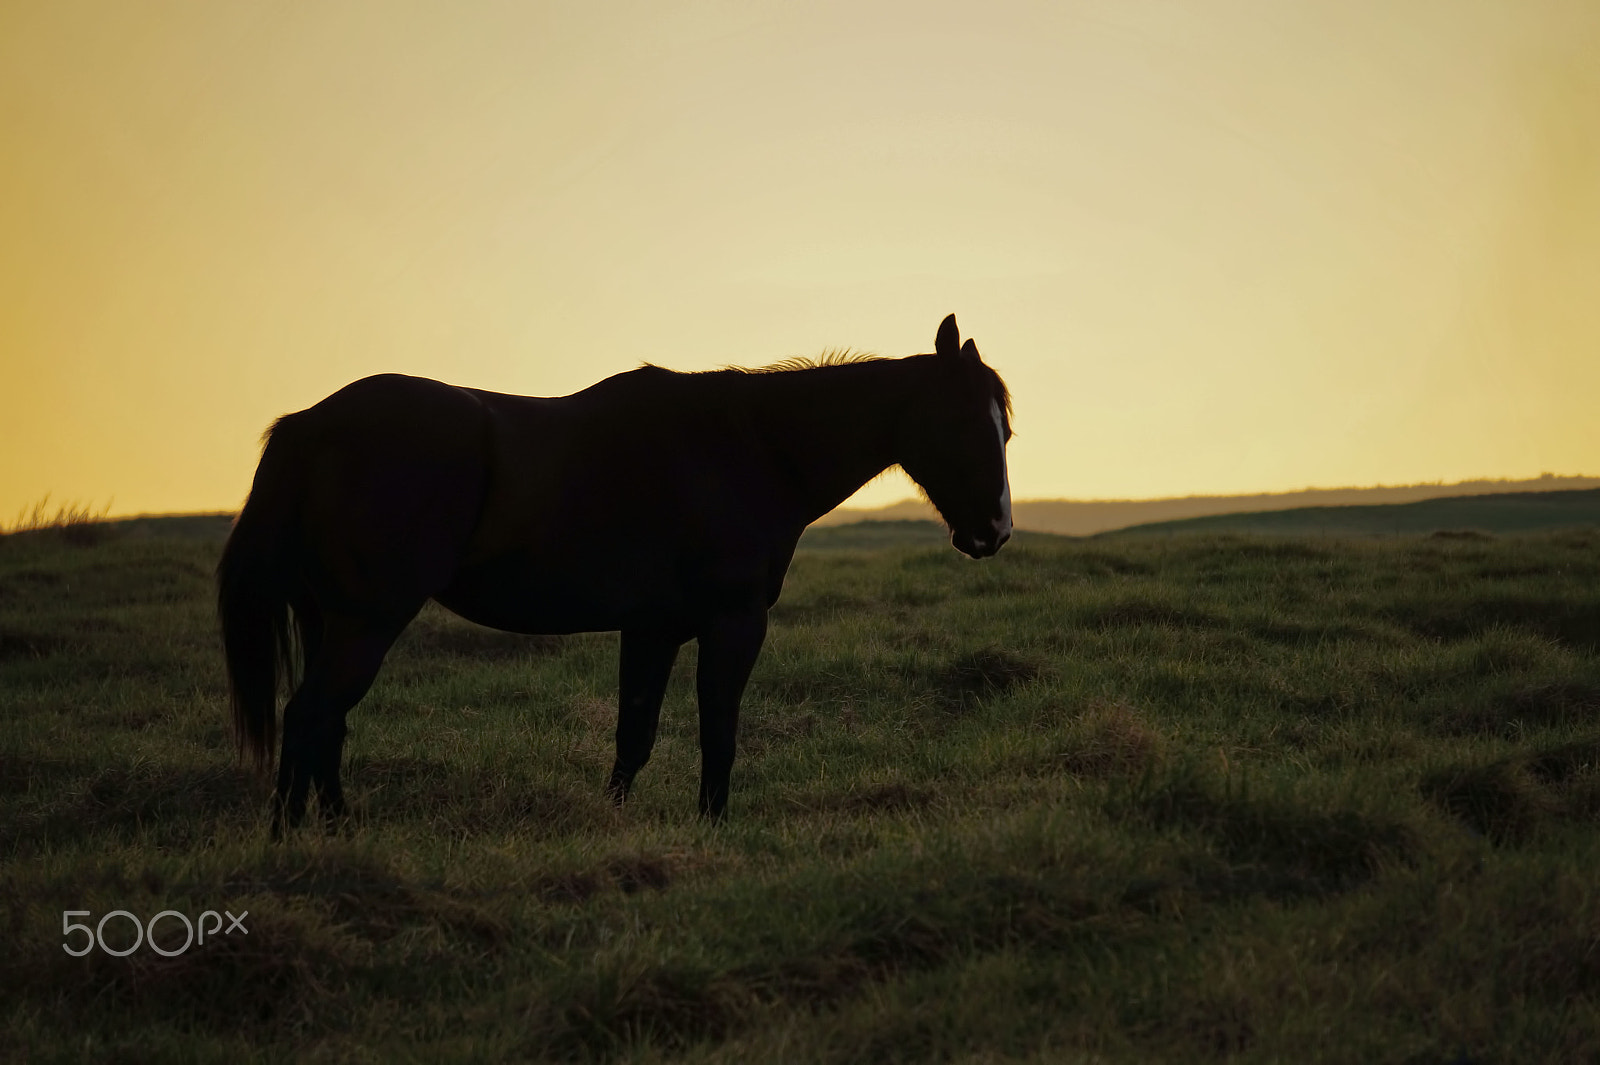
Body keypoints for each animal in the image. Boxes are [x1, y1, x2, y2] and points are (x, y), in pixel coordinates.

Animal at [216, 311, 1011, 831]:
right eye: (971, 423)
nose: (994, 532)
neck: (751, 449)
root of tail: (309, 424)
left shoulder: (653, 629)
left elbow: (635, 734)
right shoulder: (732, 623)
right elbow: (717, 729)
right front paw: (712, 828)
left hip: (331, 619)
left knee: (326, 722)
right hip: (367, 620)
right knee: (310, 715)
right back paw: (289, 840)